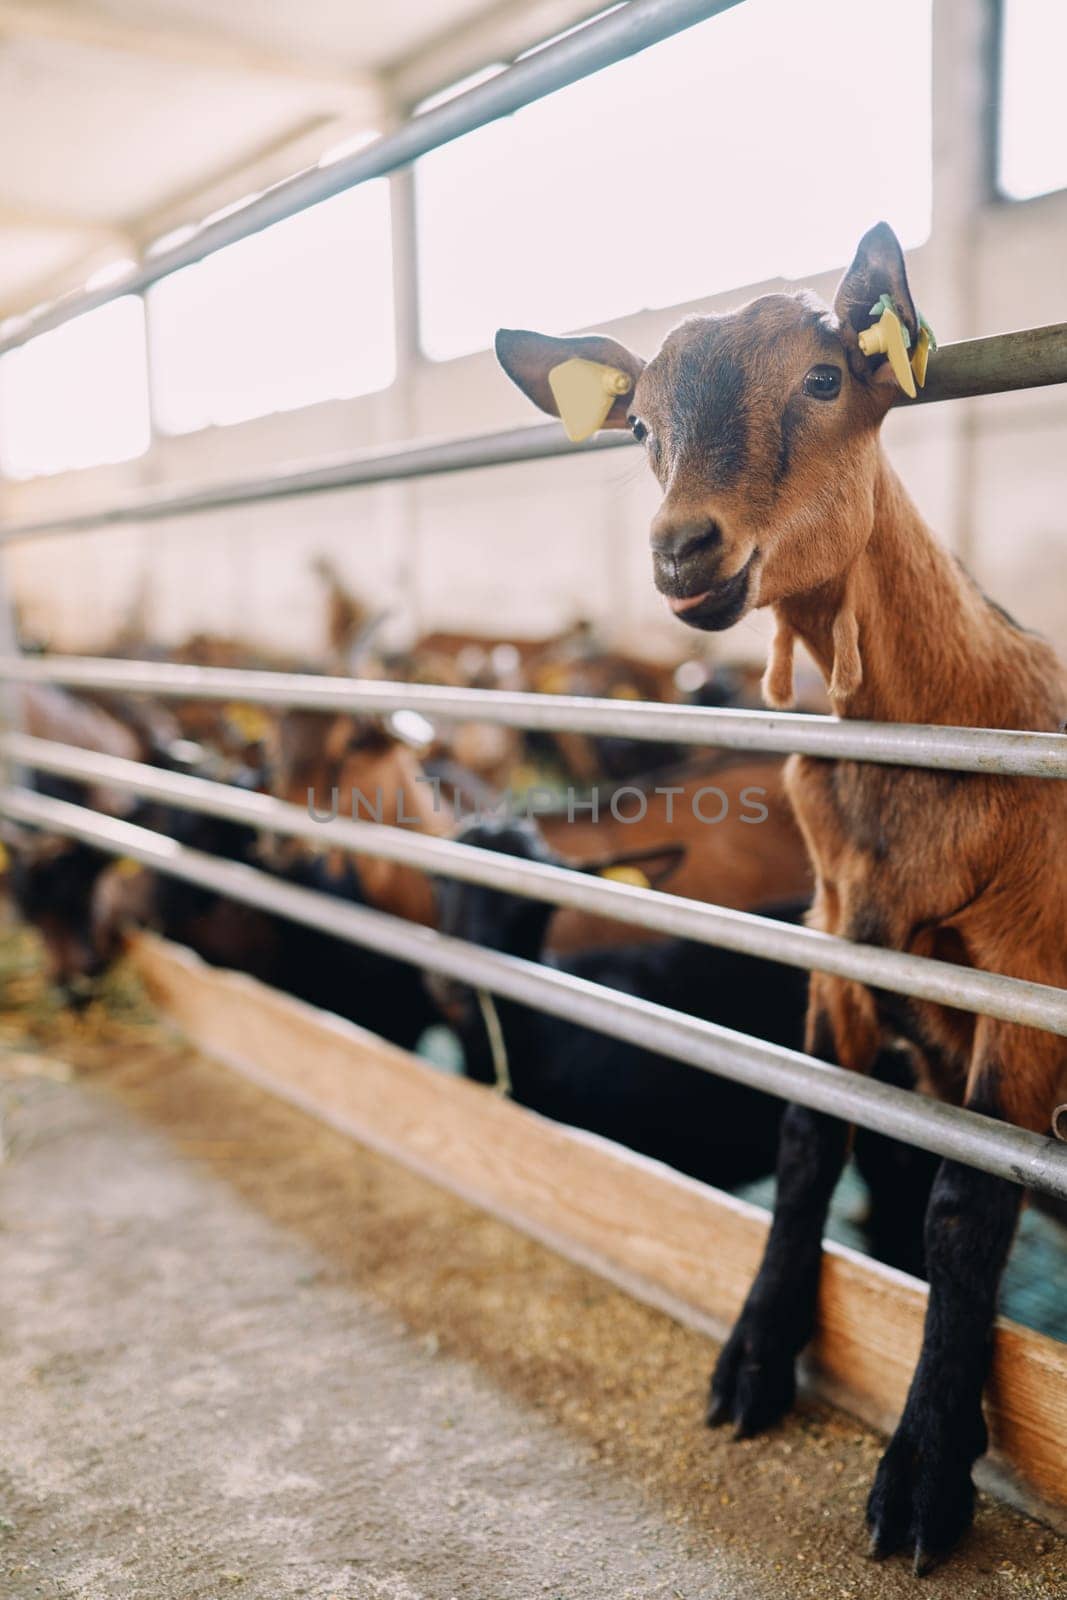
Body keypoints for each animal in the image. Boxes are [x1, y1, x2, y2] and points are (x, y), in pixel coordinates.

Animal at [495, 225, 1067, 1574]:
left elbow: (967, 1205)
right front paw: (753, 1360)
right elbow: (809, 1134)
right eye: (638, 423)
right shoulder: (836, 945)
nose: (680, 550)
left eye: (822, 379)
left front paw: (919, 1480)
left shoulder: (1020, 973)